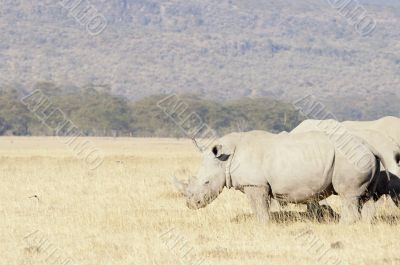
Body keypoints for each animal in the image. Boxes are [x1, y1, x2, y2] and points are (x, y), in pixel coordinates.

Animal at [173, 130, 380, 223]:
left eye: (206, 182)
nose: (190, 205)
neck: (226, 158)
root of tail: (370, 147)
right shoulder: (257, 185)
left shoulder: (255, 185)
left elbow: (259, 207)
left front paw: (261, 225)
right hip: (360, 157)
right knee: (366, 196)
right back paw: (365, 225)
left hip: (350, 159)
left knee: (349, 196)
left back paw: (344, 225)